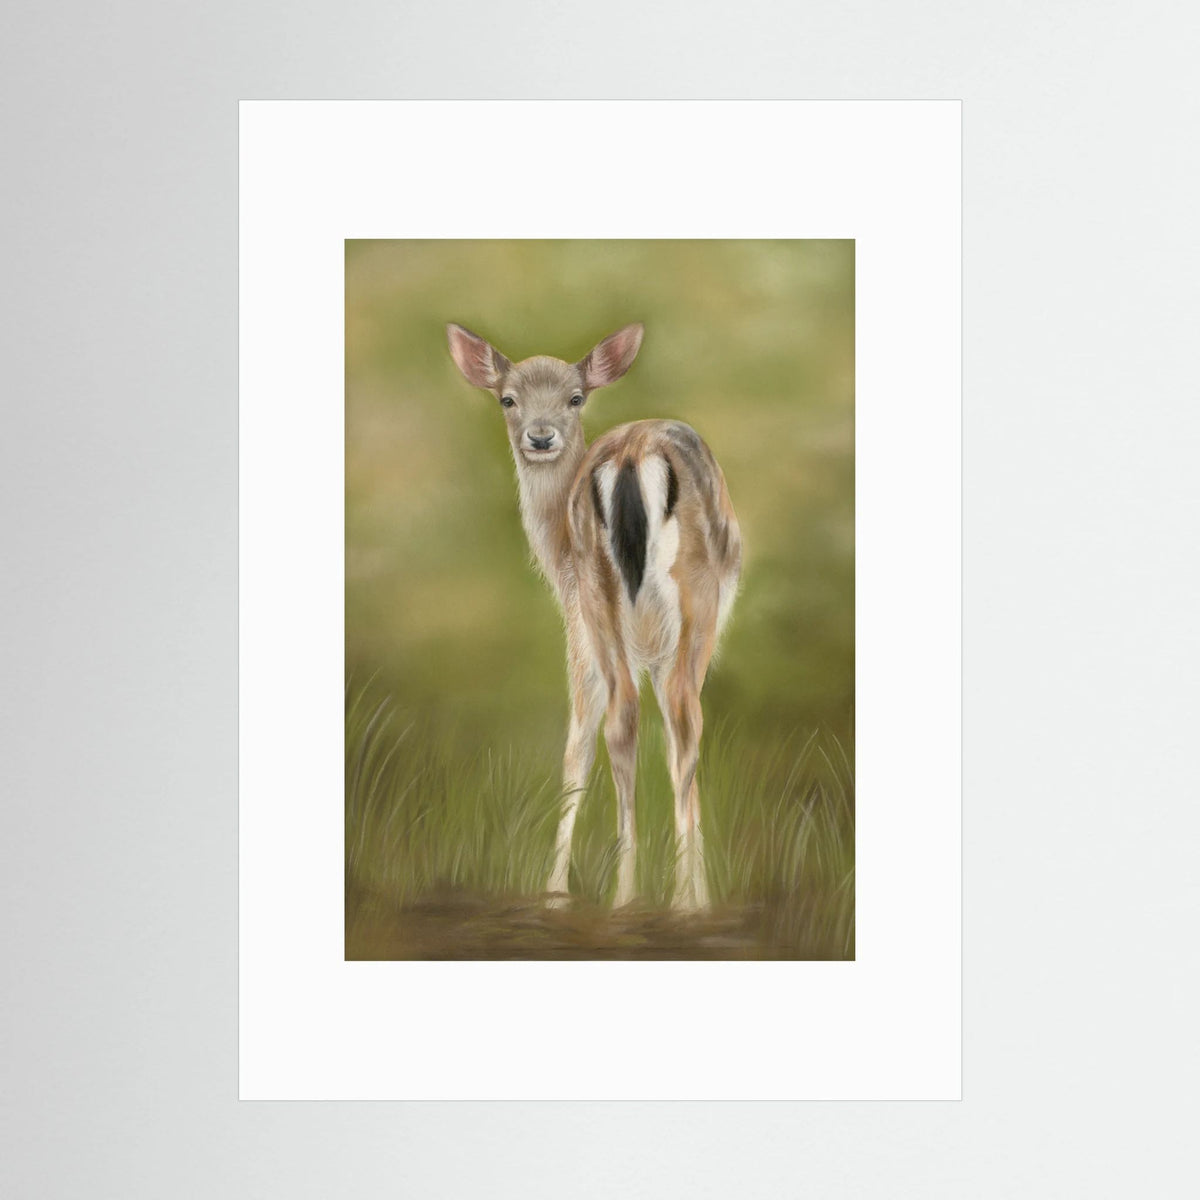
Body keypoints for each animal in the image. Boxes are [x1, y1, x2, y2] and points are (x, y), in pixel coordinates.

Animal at [446, 322, 742, 910]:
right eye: (507, 398)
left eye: (575, 398)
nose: (540, 437)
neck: (555, 557)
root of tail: (631, 456)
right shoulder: (589, 632)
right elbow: (587, 745)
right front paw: (557, 890)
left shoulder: (590, 628)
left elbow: (585, 743)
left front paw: (556, 890)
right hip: (680, 603)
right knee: (673, 720)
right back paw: (666, 901)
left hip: (607, 597)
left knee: (635, 718)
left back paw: (634, 895)